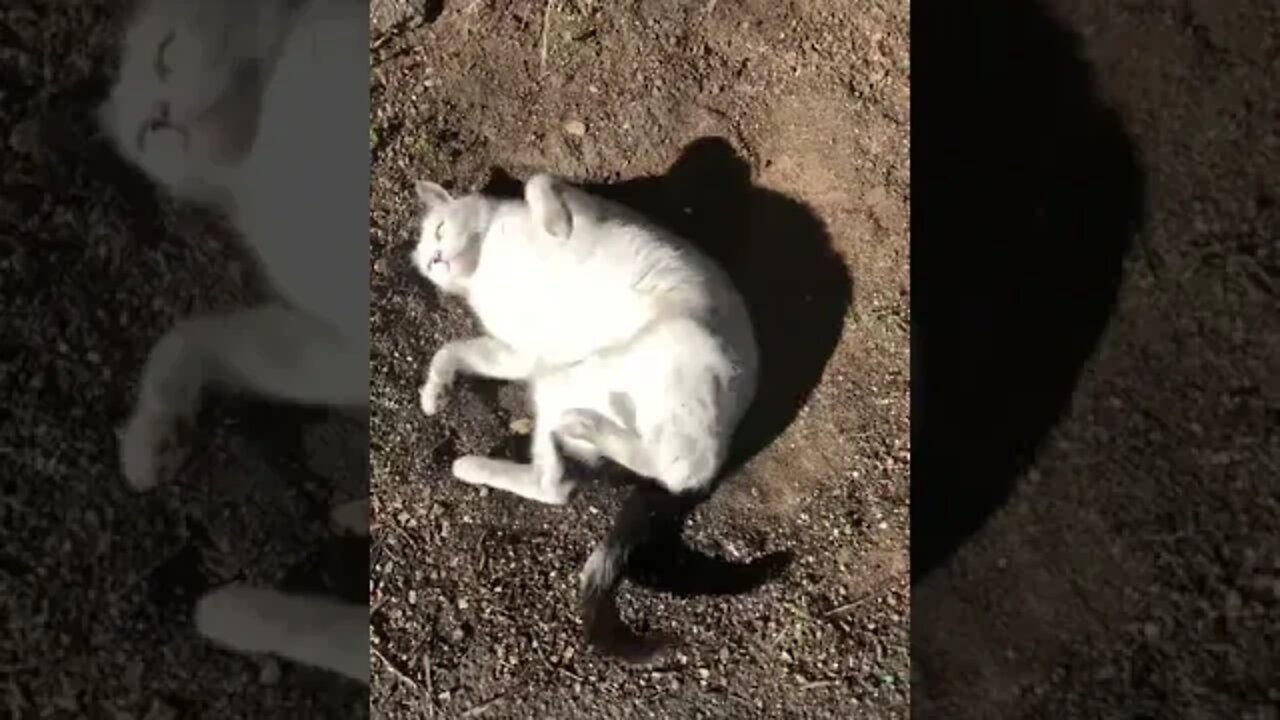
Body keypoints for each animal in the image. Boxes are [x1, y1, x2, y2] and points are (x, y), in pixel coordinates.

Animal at [99, 0, 371, 681]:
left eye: (167, 52)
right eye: (142, 134)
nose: (160, 115)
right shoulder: (343, 346)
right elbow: (189, 336)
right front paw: (152, 435)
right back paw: (241, 614)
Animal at [414, 170, 757, 661]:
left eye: (440, 231)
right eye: (426, 260)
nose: (437, 259)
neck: (487, 266)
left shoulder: (586, 207)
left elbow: (539, 183)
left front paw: (555, 224)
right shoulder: (519, 353)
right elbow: (451, 350)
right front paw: (434, 392)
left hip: (664, 356)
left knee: (669, 466)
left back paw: (578, 430)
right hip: (557, 385)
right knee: (559, 485)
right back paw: (481, 464)